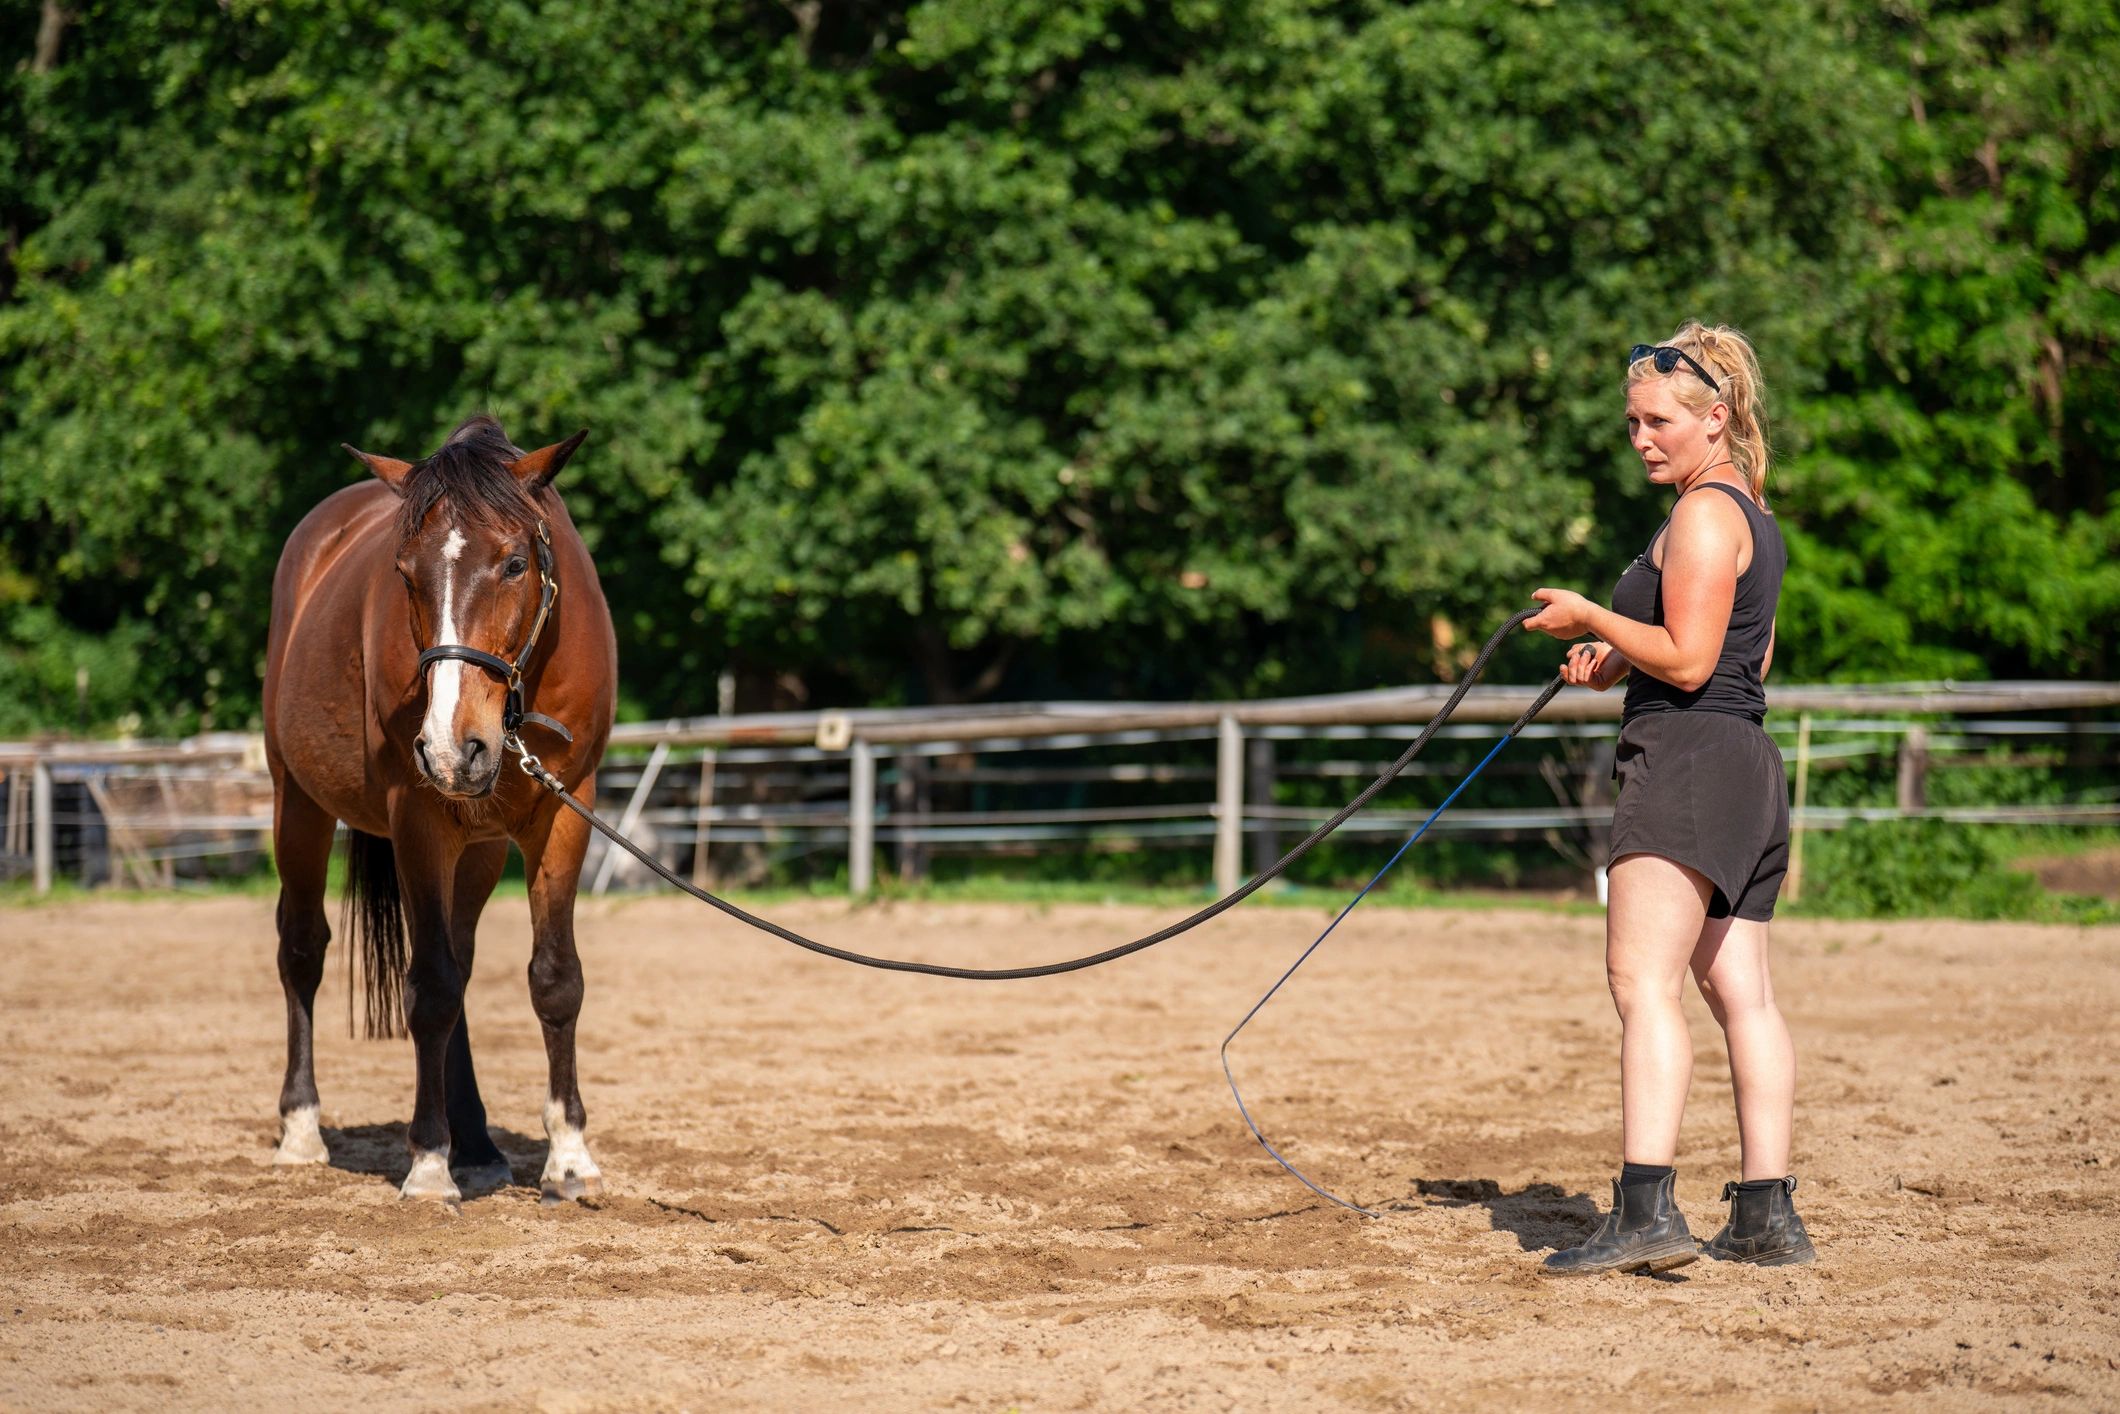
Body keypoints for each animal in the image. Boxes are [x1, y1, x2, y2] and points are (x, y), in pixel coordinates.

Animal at [262, 415, 616, 1206]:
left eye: (514, 563)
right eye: (404, 574)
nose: (455, 747)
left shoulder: (565, 813)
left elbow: (556, 980)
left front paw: (569, 1158)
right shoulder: (417, 820)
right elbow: (427, 988)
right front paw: (427, 1163)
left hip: (477, 847)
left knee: (460, 960)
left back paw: (477, 1145)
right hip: (297, 803)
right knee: (303, 949)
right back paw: (302, 1129)